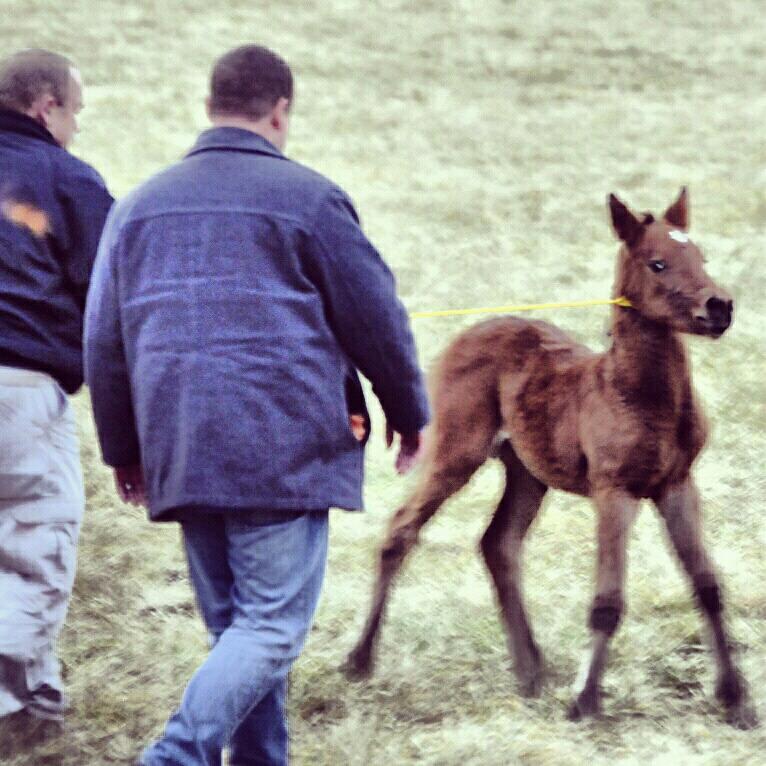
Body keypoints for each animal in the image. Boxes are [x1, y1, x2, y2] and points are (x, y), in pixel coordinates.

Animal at [348, 190, 756, 728]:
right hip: (456, 451)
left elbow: (707, 584)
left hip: (526, 472)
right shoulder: (613, 490)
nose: (720, 307)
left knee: (498, 543)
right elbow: (608, 599)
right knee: (401, 530)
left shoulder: (678, 483)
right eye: (658, 263)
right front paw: (585, 701)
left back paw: (531, 671)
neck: (639, 395)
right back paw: (359, 661)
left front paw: (737, 700)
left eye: (701, 257)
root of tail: (468, 333)